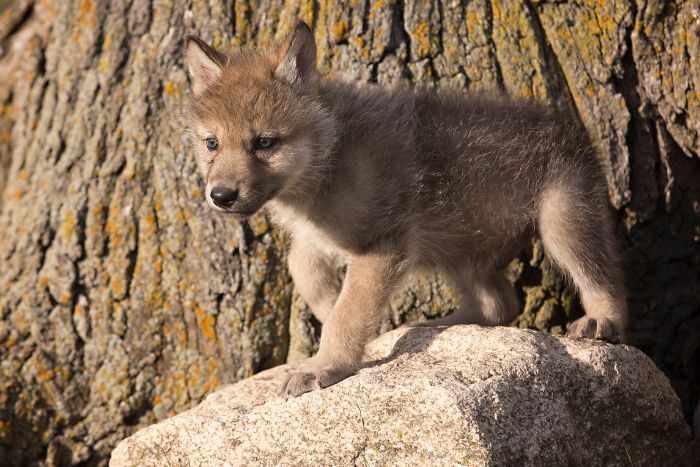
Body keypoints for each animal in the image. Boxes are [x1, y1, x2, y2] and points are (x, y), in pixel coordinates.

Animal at [184, 21, 628, 397]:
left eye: (264, 142)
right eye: (212, 143)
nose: (221, 196)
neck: (330, 155)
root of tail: (575, 130)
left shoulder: (380, 247)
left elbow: (347, 315)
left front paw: (325, 365)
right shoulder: (321, 237)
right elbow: (303, 268)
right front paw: (327, 308)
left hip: (564, 223)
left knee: (604, 281)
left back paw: (602, 321)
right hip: (457, 245)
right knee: (499, 303)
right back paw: (433, 324)